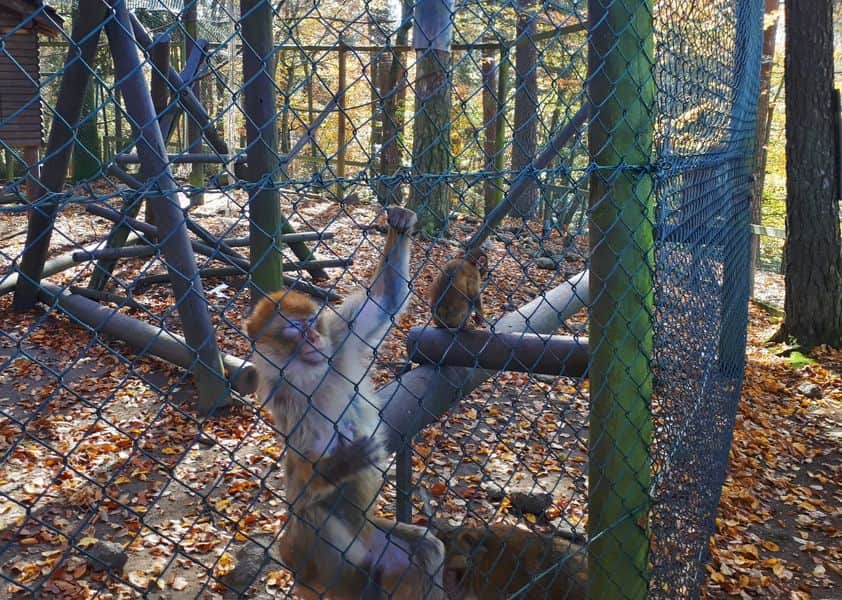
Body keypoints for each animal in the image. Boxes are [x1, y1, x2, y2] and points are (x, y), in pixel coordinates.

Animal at [244, 207, 446, 600]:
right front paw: (341, 464)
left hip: (382, 545)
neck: (312, 376)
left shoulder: (339, 339)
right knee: (309, 515)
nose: (312, 337)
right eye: (293, 329)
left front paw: (399, 223)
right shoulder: (287, 404)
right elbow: (300, 480)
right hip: (318, 562)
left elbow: (385, 300)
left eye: (310, 321)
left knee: (426, 549)